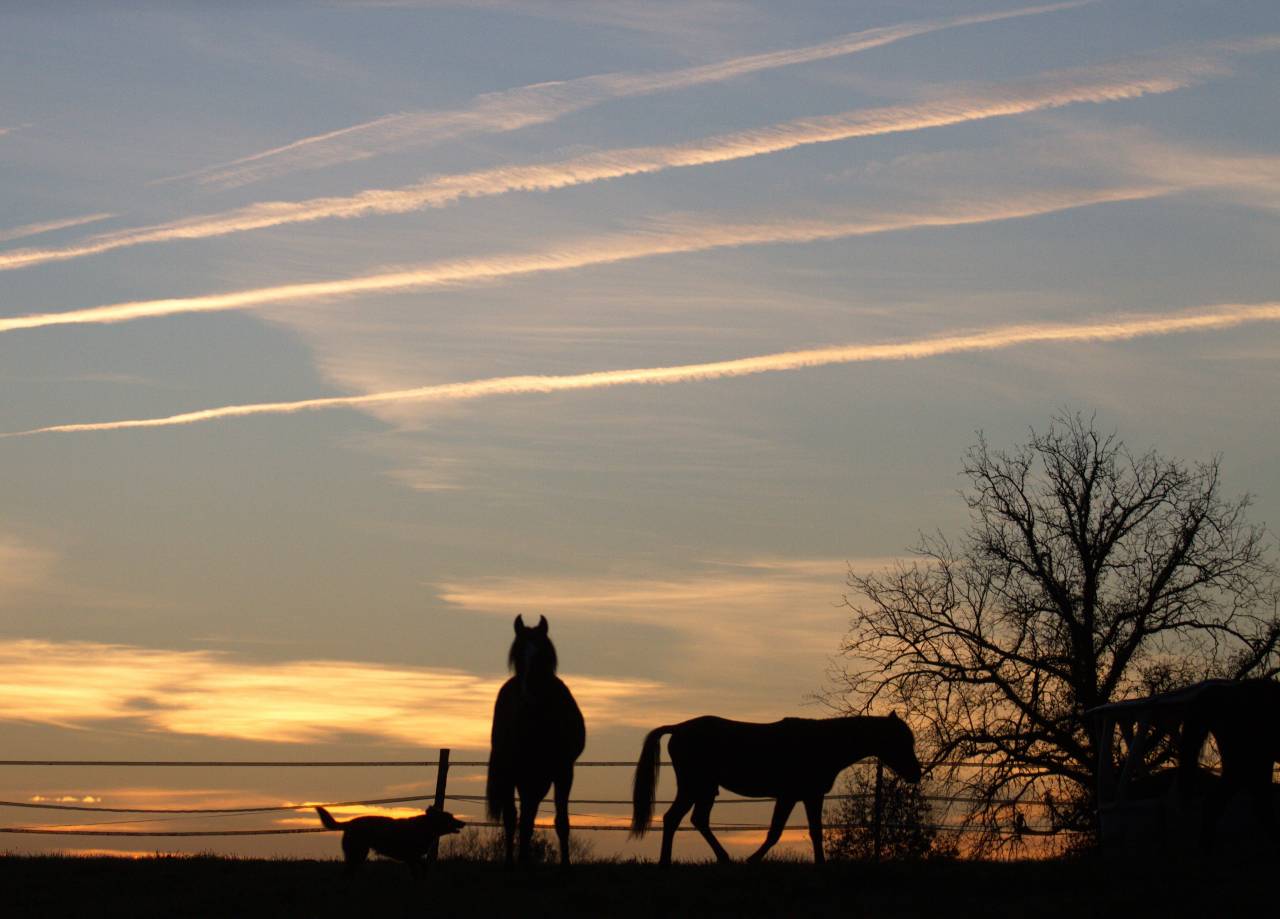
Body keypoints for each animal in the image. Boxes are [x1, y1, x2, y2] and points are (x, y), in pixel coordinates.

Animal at [485, 614, 586, 867]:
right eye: (517, 656)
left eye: (542, 655)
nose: (528, 695)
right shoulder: (517, 771)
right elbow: (515, 818)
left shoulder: (563, 771)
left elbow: (561, 822)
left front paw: (566, 864)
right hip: (516, 773)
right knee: (514, 817)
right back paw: (513, 860)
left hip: (538, 779)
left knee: (527, 815)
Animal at [631, 713, 921, 865]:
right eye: (901, 740)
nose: (916, 773)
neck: (823, 743)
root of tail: (677, 729)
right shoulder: (792, 795)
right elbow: (776, 833)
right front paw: (752, 860)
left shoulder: (808, 796)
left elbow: (814, 832)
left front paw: (821, 864)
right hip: (695, 786)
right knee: (675, 819)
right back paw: (670, 863)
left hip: (704, 789)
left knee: (693, 820)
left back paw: (721, 859)